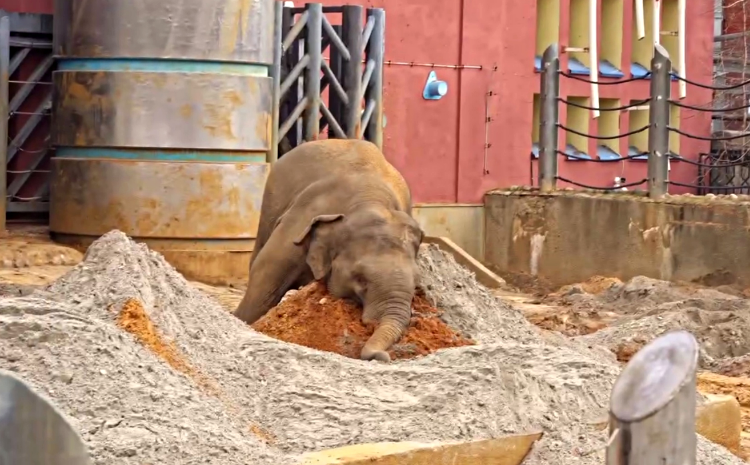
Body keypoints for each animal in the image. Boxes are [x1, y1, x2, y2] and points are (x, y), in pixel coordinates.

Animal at [235, 139, 424, 362]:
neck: (370, 200)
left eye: (417, 282)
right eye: (360, 279)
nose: (383, 356)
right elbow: (263, 281)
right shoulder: (297, 226)